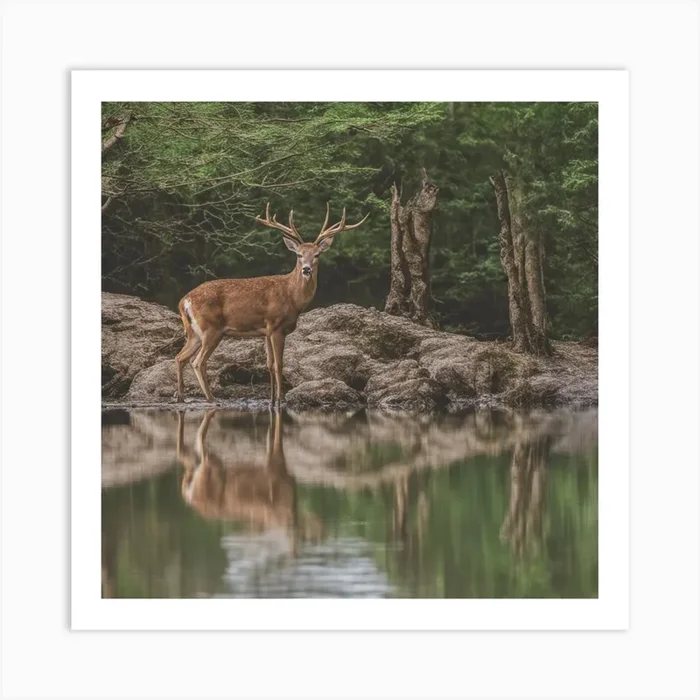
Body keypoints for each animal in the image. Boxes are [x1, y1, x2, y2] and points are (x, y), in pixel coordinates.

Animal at [175, 203, 369, 407]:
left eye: (317, 255)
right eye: (299, 255)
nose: (306, 269)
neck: (292, 297)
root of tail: (184, 300)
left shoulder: (266, 330)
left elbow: (268, 364)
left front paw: (270, 400)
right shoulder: (276, 326)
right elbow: (279, 364)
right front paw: (281, 399)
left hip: (194, 332)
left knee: (180, 357)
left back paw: (180, 396)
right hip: (211, 328)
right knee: (197, 362)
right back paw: (211, 397)